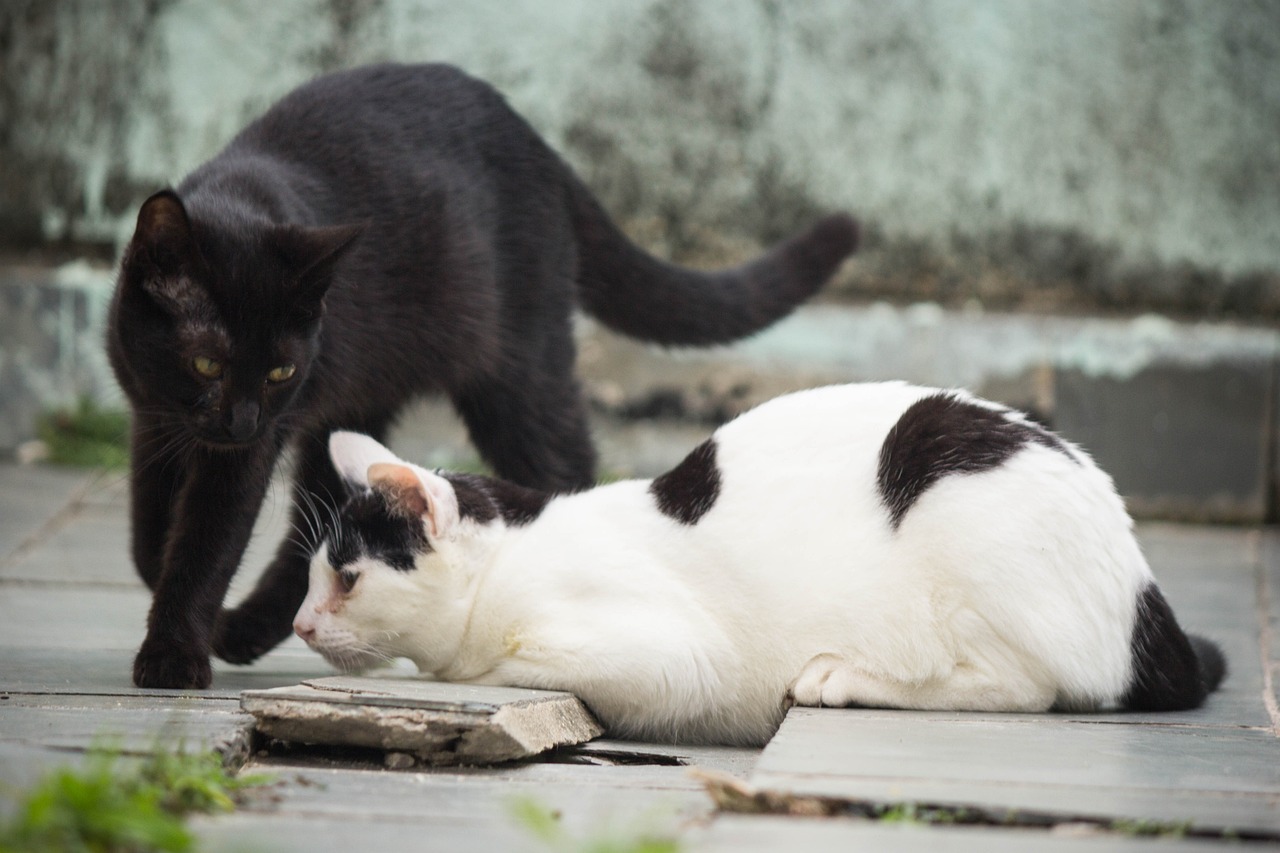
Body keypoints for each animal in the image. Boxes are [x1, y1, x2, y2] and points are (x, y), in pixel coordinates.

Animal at [104, 63, 855, 686]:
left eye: (279, 370)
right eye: (207, 362)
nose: (241, 419)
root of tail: (542, 147)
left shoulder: (256, 442)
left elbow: (208, 540)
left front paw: (173, 654)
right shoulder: (154, 415)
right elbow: (150, 528)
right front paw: (174, 595)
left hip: (516, 375)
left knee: (562, 461)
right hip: (356, 402)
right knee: (322, 515)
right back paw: (252, 628)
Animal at [294, 379, 1223, 742]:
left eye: (346, 577)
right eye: (312, 578)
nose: (299, 624)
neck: (516, 553)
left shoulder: (674, 658)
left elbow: (492, 667)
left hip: (960, 504)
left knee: (1026, 685)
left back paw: (838, 677)